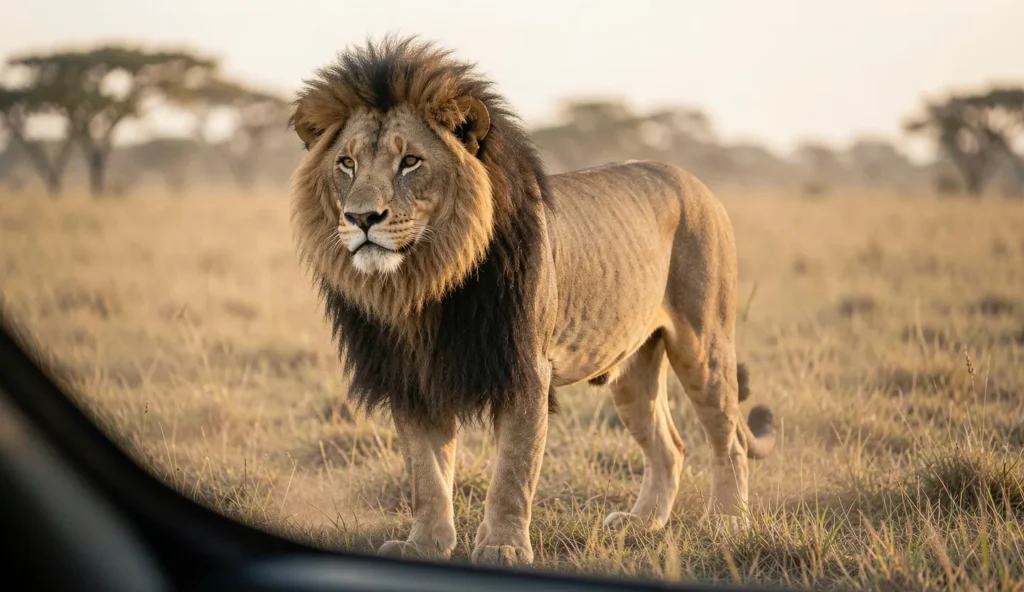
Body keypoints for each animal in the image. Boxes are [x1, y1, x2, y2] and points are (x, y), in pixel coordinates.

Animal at [289, 36, 776, 566]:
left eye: (410, 162)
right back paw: (643, 523)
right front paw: (425, 543)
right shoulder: (412, 378)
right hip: (631, 367)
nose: (361, 218)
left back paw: (725, 523)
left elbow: (512, 471)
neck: (424, 287)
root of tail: (695, 182)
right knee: (671, 446)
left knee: (728, 438)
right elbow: (426, 472)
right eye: (346, 163)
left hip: (702, 344)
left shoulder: (524, 369)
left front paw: (502, 547)